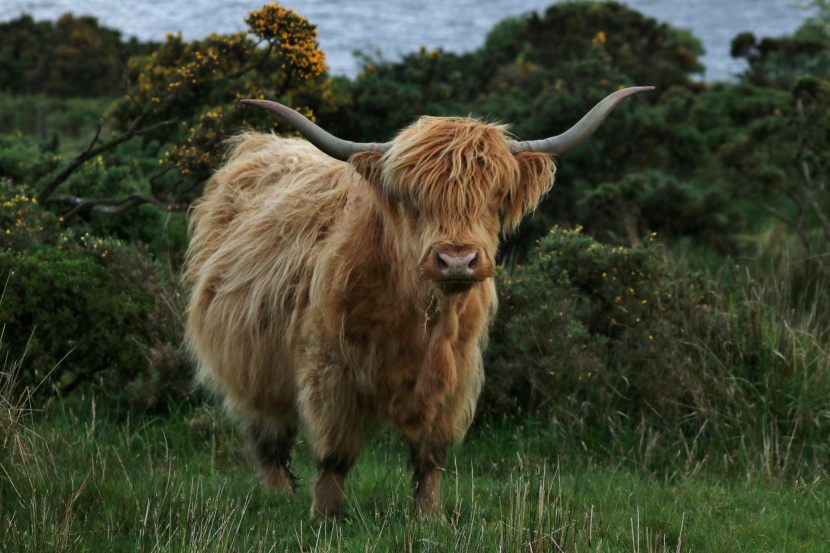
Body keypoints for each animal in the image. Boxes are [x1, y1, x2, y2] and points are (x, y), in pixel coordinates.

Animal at [185, 86, 652, 516]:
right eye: (413, 199)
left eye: (494, 197)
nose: (457, 260)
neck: (417, 316)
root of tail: (261, 142)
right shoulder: (329, 370)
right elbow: (335, 454)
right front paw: (327, 517)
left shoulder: (455, 373)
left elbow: (431, 455)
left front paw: (430, 516)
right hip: (248, 363)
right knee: (268, 435)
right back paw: (277, 496)